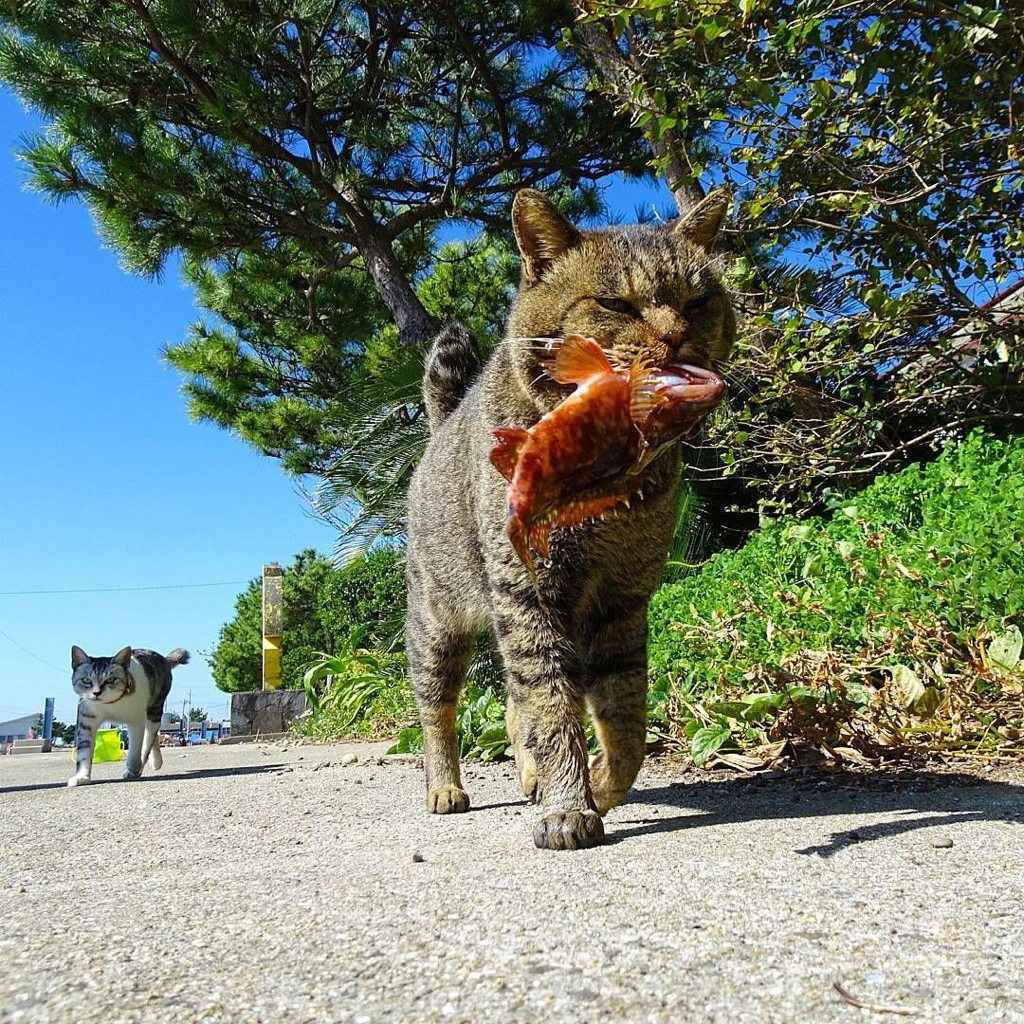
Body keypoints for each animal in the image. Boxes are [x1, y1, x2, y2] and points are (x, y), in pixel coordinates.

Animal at [67, 643, 189, 786]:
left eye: (111, 679)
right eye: (86, 680)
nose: (96, 693)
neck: (110, 704)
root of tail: (163, 659)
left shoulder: (136, 722)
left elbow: (135, 751)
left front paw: (133, 770)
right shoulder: (87, 721)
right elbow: (84, 751)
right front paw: (82, 777)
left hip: (154, 709)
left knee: (148, 739)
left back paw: (147, 764)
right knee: (153, 737)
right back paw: (156, 762)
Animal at [403, 190, 733, 847]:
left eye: (697, 301)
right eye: (614, 303)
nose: (677, 335)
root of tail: (443, 421)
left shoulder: (622, 601)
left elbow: (625, 718)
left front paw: (600, 785)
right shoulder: (528, 595)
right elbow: (554, 709)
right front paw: (568, 804)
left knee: (513, 701)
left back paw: (531, 776)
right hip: (439, 628)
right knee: (440, 712)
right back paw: (446, 785)